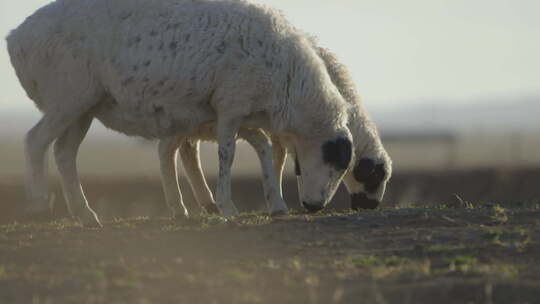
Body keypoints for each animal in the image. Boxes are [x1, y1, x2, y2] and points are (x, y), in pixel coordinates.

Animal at [9, 0, 354, 226]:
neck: (288, 81)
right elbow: (228, 155)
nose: (313, 206)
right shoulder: (230, 106)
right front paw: (227, 206)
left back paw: (86, 215)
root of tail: (16, 37)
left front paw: (276, 204)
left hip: (82, 107)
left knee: (64, 152)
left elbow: (263, 146)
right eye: (335, 162)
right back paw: (39, 204)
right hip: (67, 98)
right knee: (35, 141)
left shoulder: (233, 113)